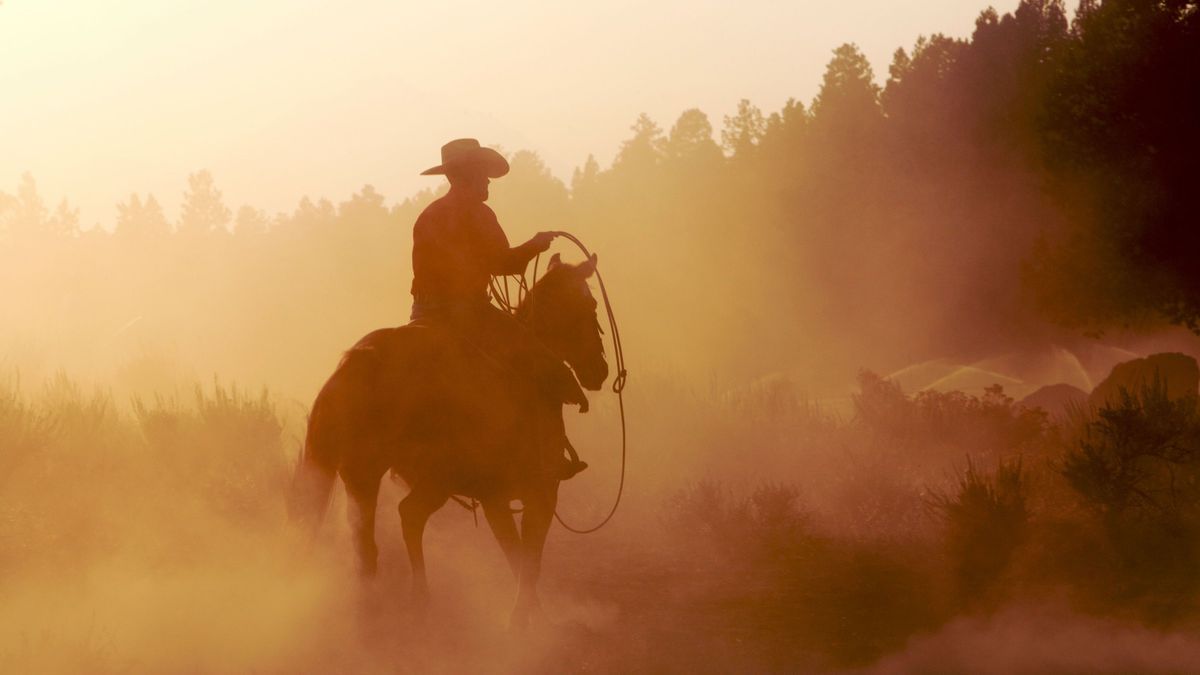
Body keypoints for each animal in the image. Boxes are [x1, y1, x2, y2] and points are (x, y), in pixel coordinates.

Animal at [290, 253, 609, 624]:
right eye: (590, 305)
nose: (600, 370)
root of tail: (359, 361)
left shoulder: (495, 496)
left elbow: (517, 554)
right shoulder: (538, 489)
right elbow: (527, 557)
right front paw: (526, 619)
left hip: (367, 475)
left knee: (373, 540)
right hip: (427, 476)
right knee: (402, 520)